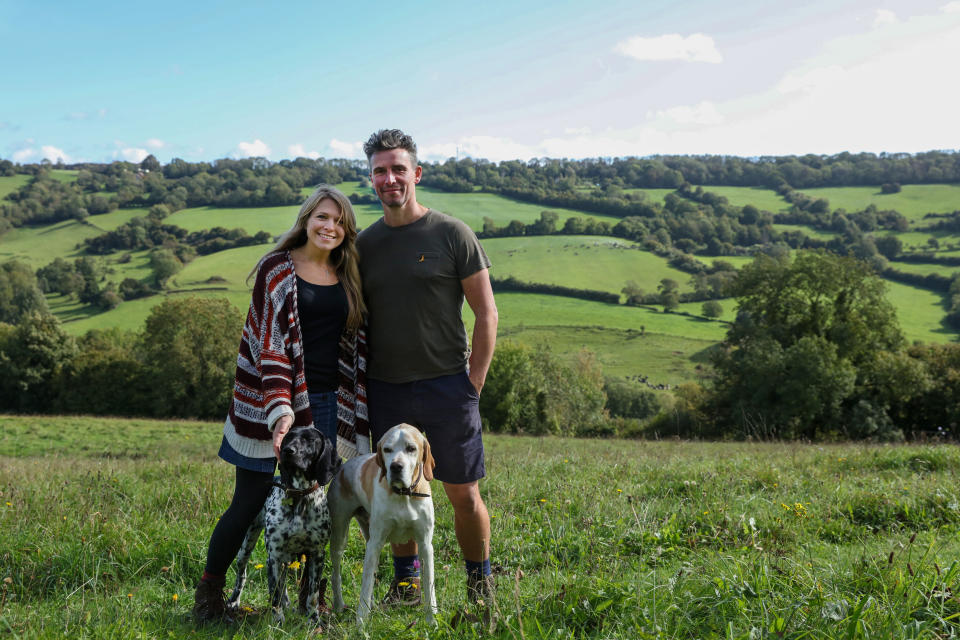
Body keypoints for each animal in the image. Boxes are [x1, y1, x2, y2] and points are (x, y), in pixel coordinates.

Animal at [226, 424, 342, 624]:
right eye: (288, 437)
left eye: (309, 440)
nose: (288, 451)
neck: (300, 496)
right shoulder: (274, 555)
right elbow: (275, 593)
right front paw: (278, 620)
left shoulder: (317, 554)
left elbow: (312, 594)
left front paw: (313, 618)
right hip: (246, 548)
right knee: (243, 575)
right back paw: (234, 601)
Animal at [328, 422, 436, 628]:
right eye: (387, 449)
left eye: (411, 448)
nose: (395, 466)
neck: (404, 495)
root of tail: (344, 467)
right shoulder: (375, 543)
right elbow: (365, 585)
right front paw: (361, 623)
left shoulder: (426, 545)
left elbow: (429, 586)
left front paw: (432, 620)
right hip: (340, 538)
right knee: (336, 574)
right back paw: (338, 605)